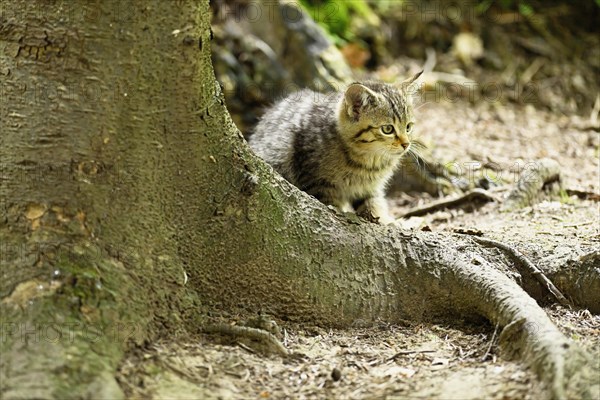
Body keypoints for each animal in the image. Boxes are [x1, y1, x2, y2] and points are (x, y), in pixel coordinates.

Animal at [250, 72, 422, 222]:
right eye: (387, 129)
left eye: (408, 127)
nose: (406, 144)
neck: (368, 161)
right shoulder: (316, 181)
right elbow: (329, 204)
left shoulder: (369, 188)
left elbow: (373, 204)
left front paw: (385, 221)